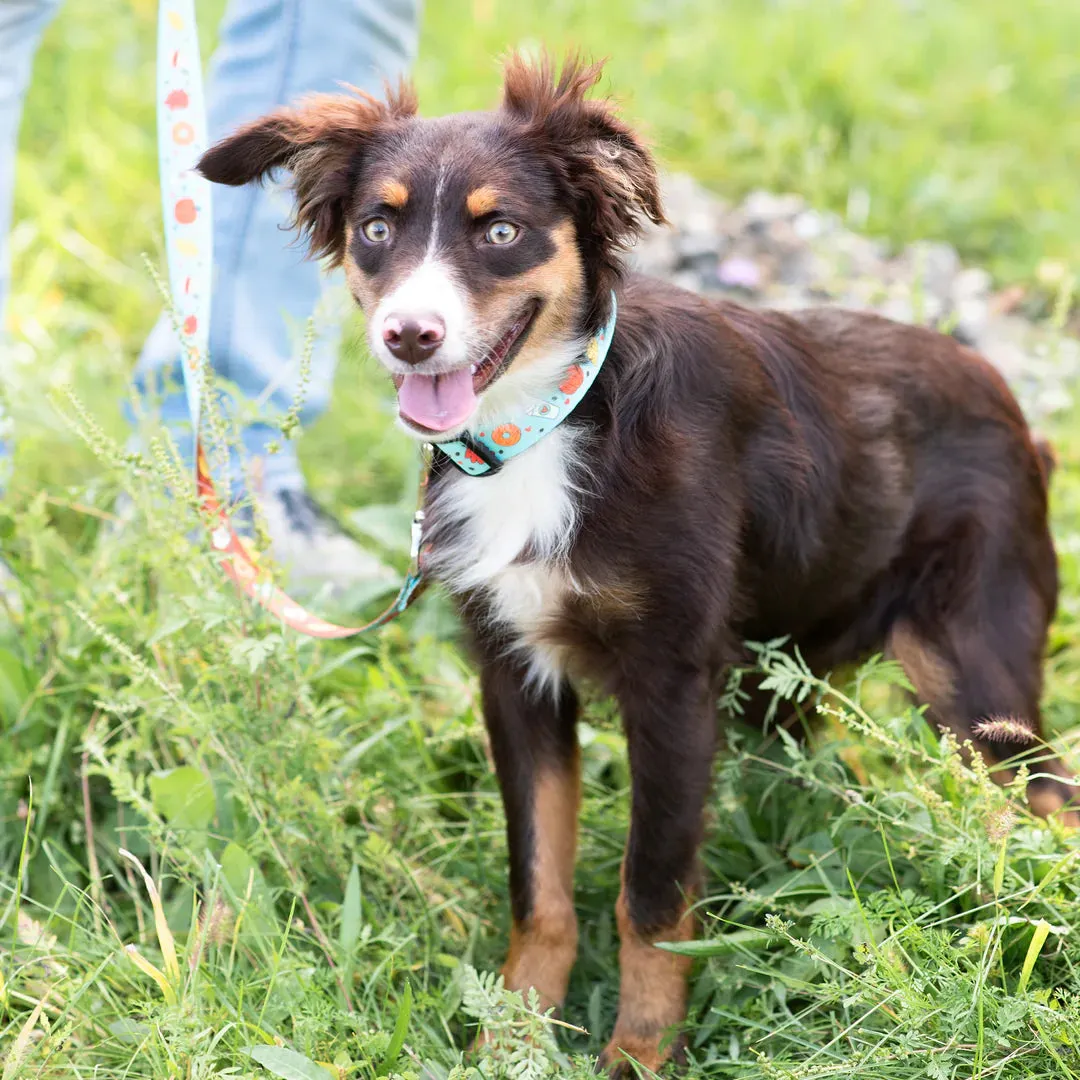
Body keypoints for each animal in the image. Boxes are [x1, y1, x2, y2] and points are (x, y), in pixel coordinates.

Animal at [198, 52, 1075, 1080]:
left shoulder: (672, 683)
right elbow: (539, 884)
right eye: (377, 228)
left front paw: (642, 1050)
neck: (545, 427)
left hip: (976, 681)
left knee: (1049, 800)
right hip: (790, 677)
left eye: (501, 231)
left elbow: (649, 897)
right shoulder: (515, 674)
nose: (409, 336)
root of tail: (1011, 407)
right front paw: (515, 1035)